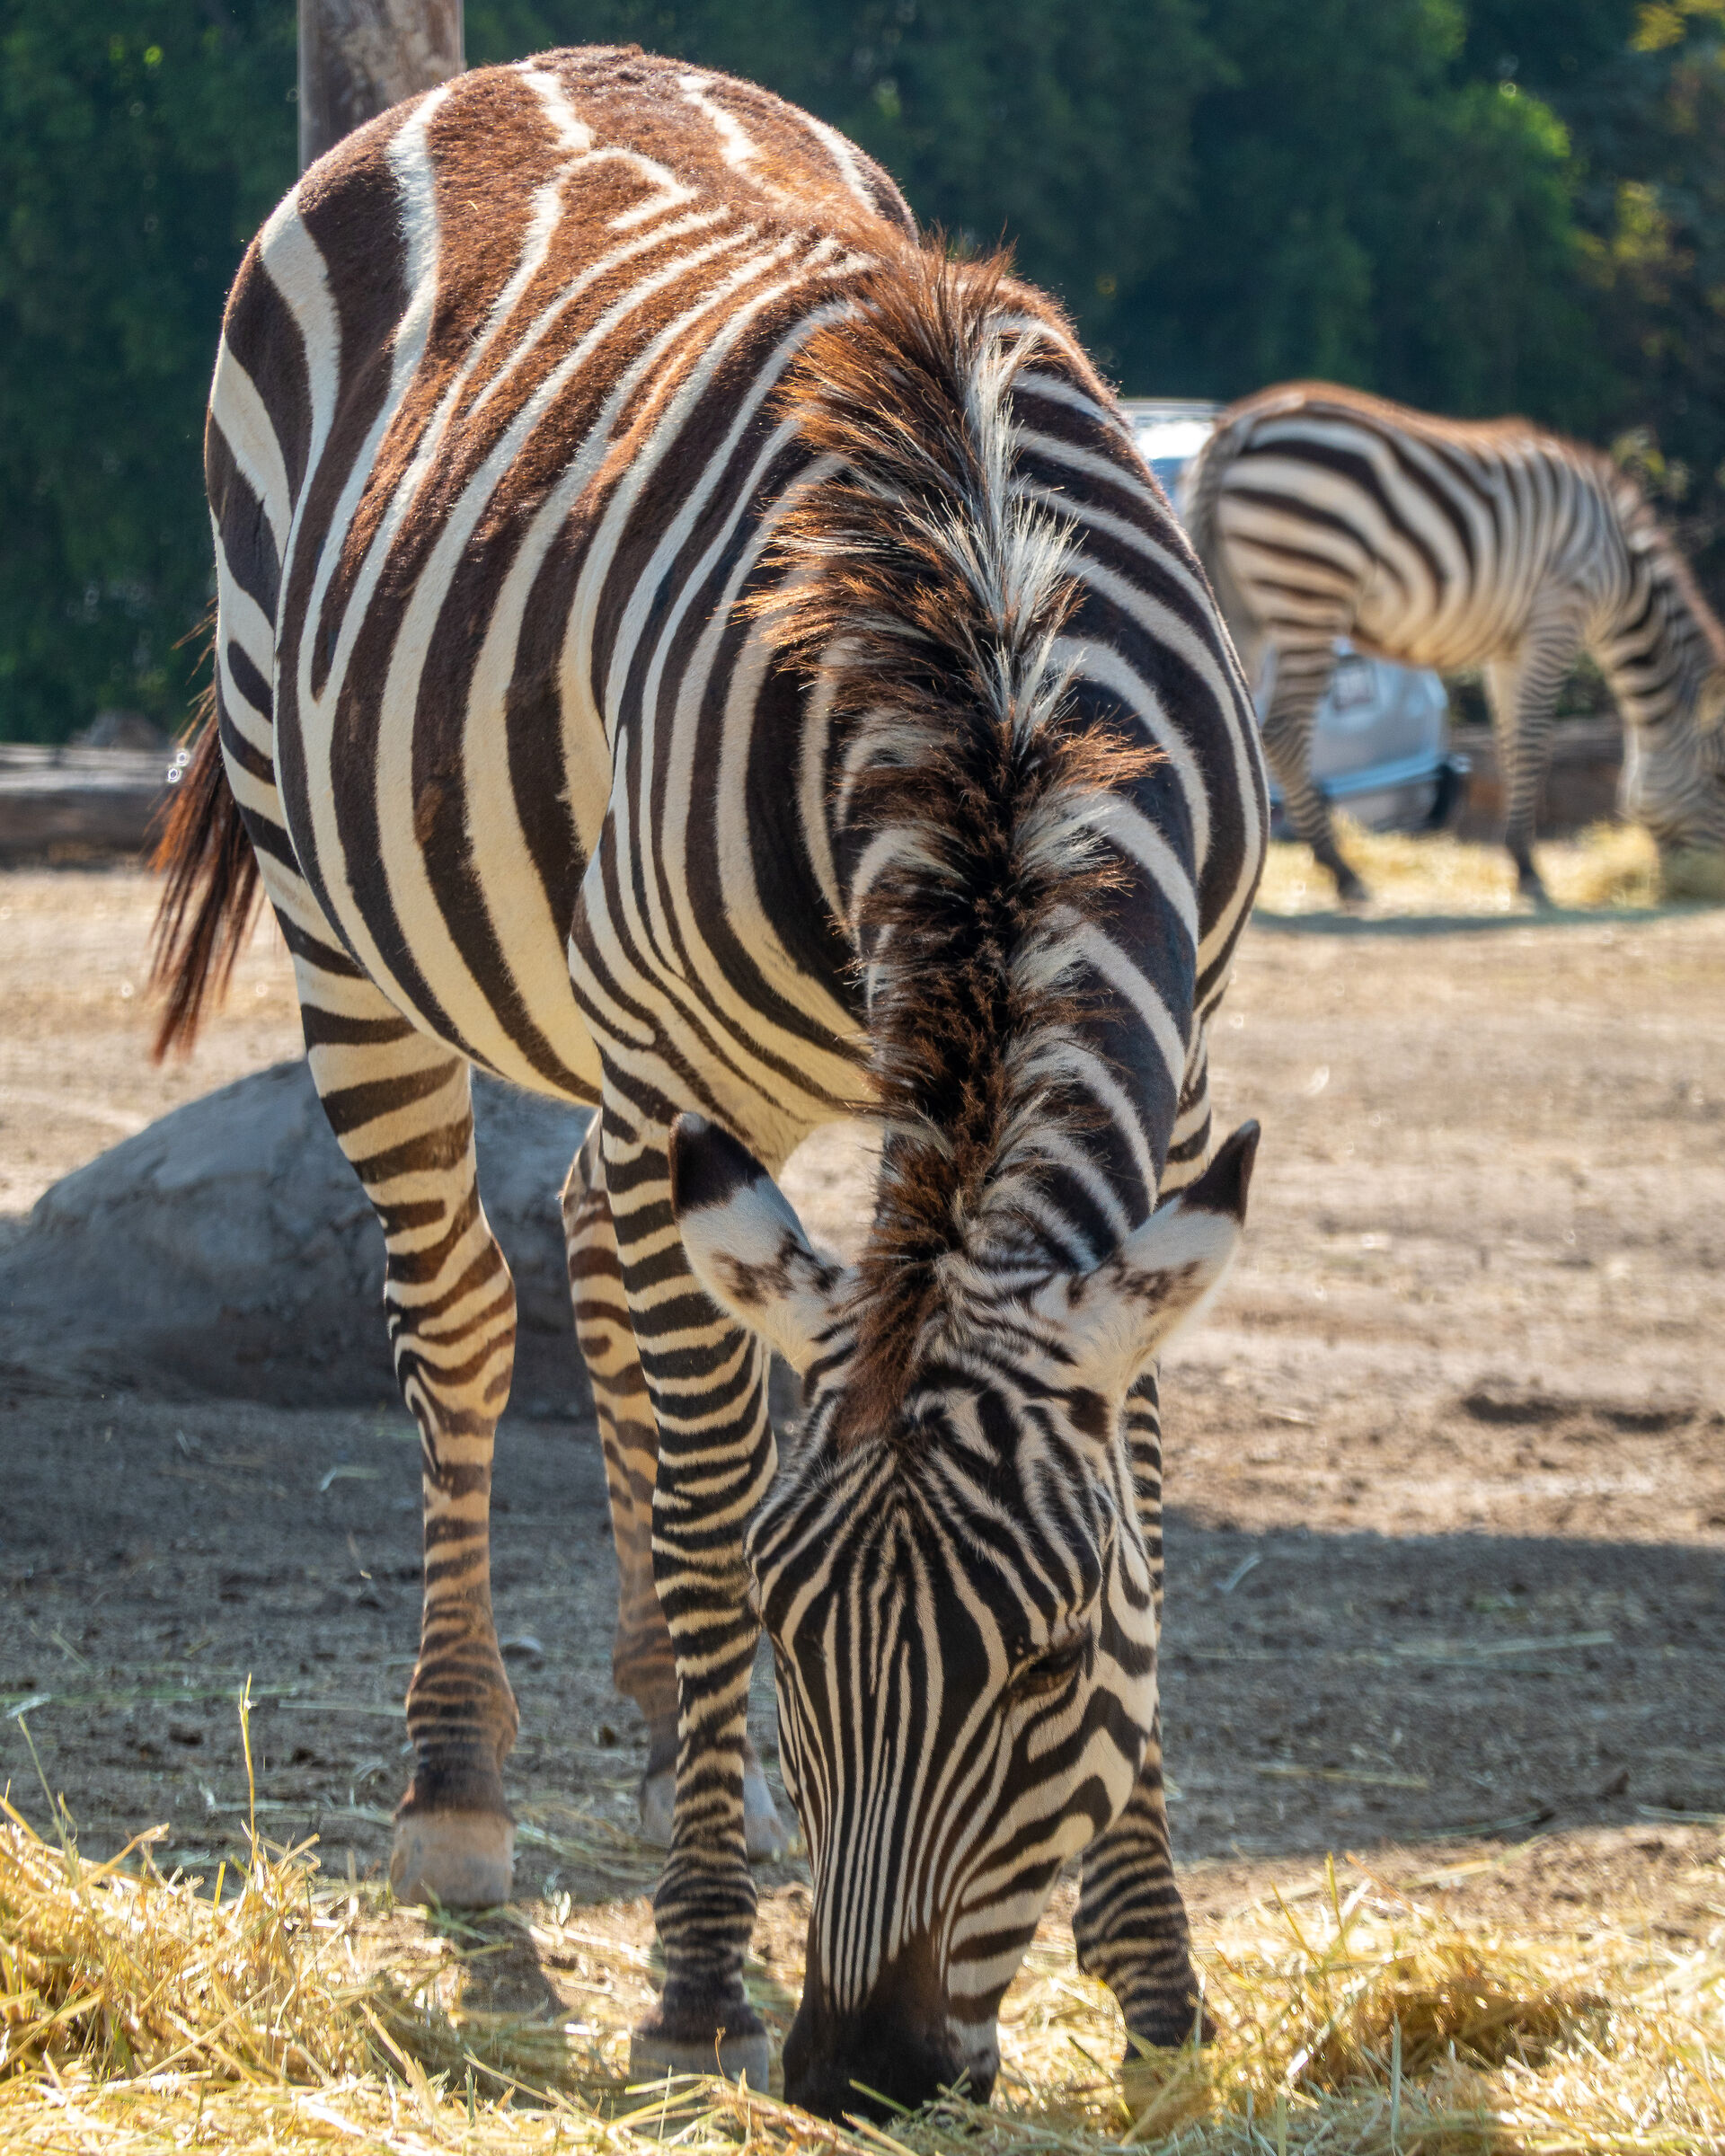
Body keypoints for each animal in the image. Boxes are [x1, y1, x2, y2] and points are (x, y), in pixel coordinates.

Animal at [151, 45, 1267, 2113]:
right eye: (800, 1642)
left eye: (1054, 1665)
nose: (865, 2070)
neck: (989, 644)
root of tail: (521, 68)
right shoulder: (680, 1043)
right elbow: (709, 1494)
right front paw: (695, 1973)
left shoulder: (1174, 1068)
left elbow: (1138, 1494)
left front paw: (1157, 1977)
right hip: (352, 933)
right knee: (468, 1317)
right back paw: (467, 1788)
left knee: (603, 1231)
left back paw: (681, 1737)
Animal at [1183, 381, 1725, 904]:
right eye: (1721, 780)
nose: (1700, 884)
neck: (1622, 570)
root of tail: (1238, 426)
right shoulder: (1558, 614)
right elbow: (1535, 741)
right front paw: (1529, 870)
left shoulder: (1510, 645)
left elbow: (1512, 742)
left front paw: (1519, 858)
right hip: (1310, 583)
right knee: (1283, 732)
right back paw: (1344, 873)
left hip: (1241, 600)